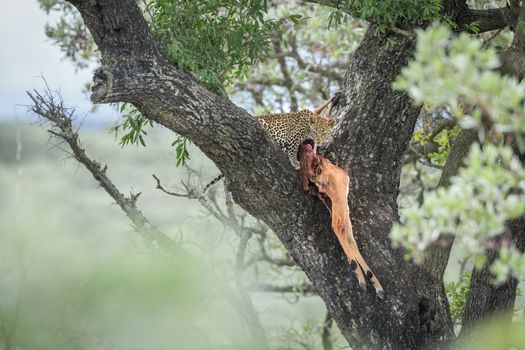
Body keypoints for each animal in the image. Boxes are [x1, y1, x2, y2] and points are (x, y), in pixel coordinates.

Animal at [199, 93, 338, 194]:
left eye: (324, 133)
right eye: (315, 132)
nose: (318, 141)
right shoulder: (294, 136)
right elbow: (293, 150)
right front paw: (295, 162)